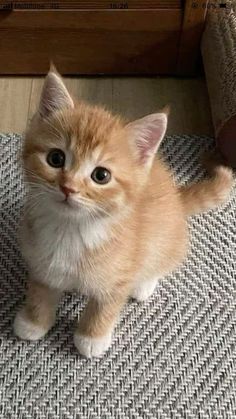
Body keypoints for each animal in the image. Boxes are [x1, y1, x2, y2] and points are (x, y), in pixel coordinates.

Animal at [13, 69, 233, 358]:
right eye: (56, 158)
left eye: (101, 175)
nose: (68, 187)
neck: (71, 228)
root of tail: (176, 197)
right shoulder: (41, 264)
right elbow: (40, 292)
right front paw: (33, 321)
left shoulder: (120, 274)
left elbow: (105, 306)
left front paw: (92, 337)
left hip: (167, 239)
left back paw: (144, 284)